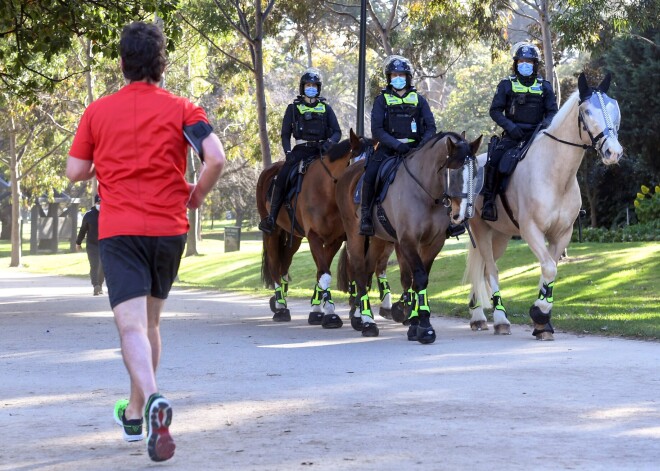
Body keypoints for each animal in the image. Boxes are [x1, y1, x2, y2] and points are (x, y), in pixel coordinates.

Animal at [338, 131, 482, 344]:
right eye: (454, 173)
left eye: (476, 173)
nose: (463, 214)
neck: (426, 194)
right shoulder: (407, 241)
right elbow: (418, 278)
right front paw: (425, 327)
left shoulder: (434, 243)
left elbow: (417, 279)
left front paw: (414, 323)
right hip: (356, 236)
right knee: (359, 271)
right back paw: (367, 322)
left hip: (379, 239)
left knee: (368, 269)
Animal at [464, 73, 624, 340]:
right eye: (587, 111)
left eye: (615, 108)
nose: (613, 152)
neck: (555, 175)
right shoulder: (531, 230)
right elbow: (548, 268)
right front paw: (539, 312)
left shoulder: (562, 234)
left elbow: (549, 270)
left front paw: (542, 322)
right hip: (481, 230)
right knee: (491, 270)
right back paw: (499, 320)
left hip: (500, 236)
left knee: (485, 266)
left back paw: (478, 316)